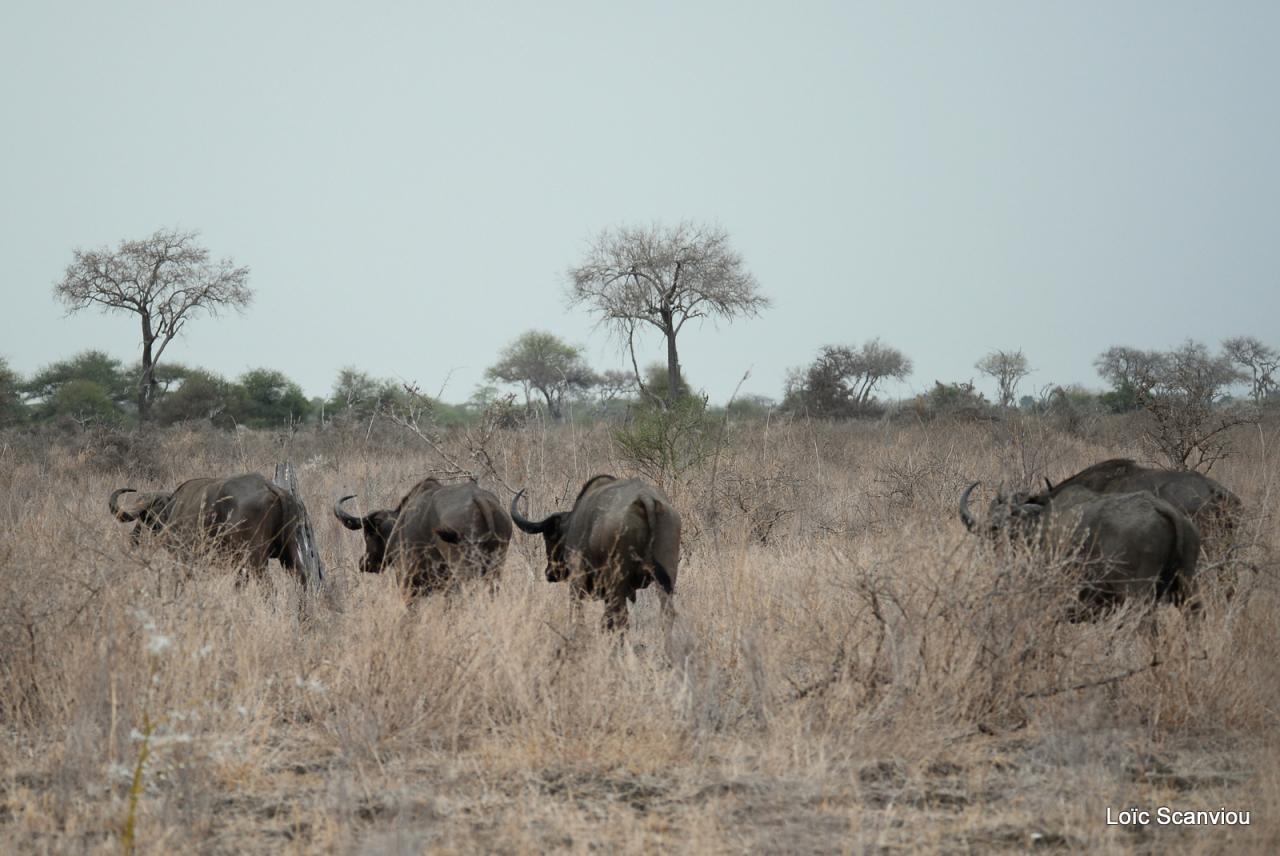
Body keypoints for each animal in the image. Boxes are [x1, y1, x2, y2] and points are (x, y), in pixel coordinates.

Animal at [108, 470, 325, 591]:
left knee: (268, 588)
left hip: (256, 559)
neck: (172, 509)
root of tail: (272, 488)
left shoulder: (186, 558)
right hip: (290, 553)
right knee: (303, 581)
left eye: (146, 517)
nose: (134, 538)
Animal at [335, 473, 509, 593]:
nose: (364, 563)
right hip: (496, 568)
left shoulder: (406, 578)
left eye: (369, 534)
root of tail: (478, 498)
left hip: (464, 570)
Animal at [509, 470, 680, 632]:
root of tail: (644, 498)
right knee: (666, 615)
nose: (549, 573)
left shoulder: (577, 578)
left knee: (620, 618)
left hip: (617, 583)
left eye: (548, 537)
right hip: (666, 578)